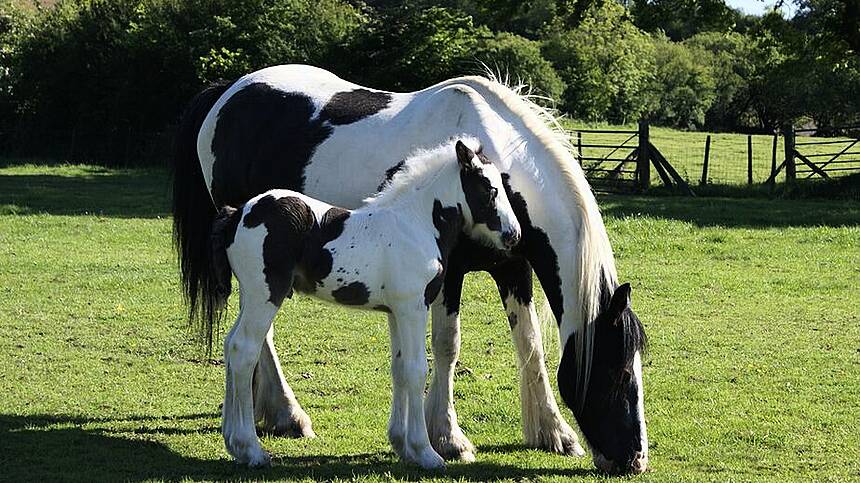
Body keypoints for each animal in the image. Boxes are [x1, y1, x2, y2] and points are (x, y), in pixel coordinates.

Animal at [207, 139, 524, 468]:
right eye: (489, 189)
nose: (514, 235)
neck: (416, 224)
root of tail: (237, 214)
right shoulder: (413, 307)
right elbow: (416, 370)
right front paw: (426, 452)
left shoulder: (396, 312)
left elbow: (399, 368)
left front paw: (402, 446)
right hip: (265, 294)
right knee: (243, 349)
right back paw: (251, 449)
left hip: (250, 294)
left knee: (230, 345)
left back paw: (233, 442)